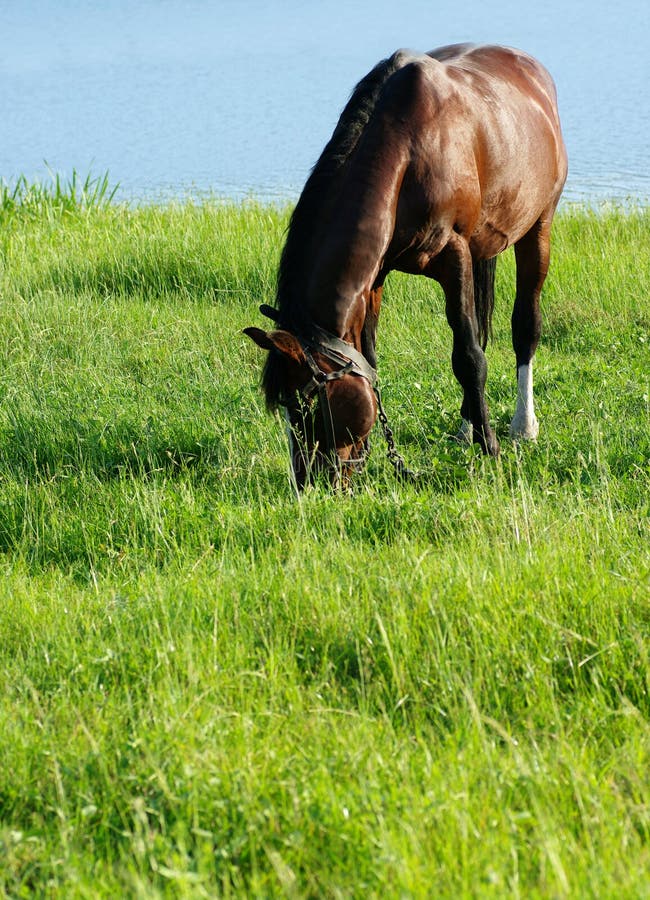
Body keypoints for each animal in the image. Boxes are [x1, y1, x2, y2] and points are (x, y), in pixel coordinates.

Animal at [243, 44, 560, 488]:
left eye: (309, 406)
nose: (309, 484)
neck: (407, 152)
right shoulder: (374, 278)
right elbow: (375, 358)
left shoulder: (454, 255)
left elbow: (469, 358)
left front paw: (491, 449)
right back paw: (465, 427)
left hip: (538, 226)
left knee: (524, 327)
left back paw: (521, 426)